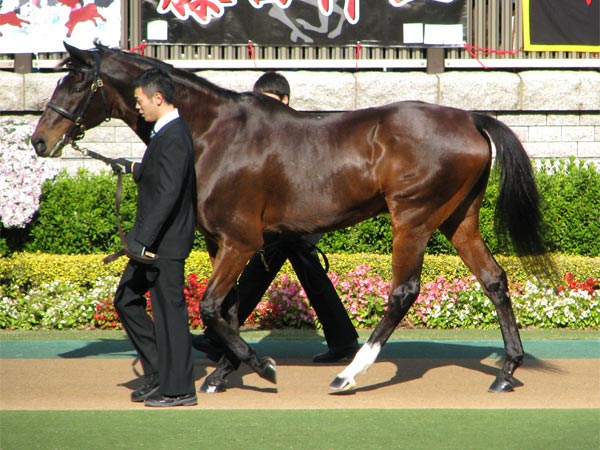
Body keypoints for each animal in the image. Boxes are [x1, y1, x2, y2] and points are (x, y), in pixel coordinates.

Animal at [30, 41, 552, 394]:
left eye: (76, 82)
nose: (39, 140)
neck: (213, 132)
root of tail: (470, 118)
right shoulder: (223, 242)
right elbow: (229, 307)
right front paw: (224, 371)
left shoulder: (240, 241)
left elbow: (213, 306)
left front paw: (258, 365)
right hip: (457, 218)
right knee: (494, 278)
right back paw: (507, 370)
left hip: (413, 218)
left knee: (404, 291)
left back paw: (349, 373)